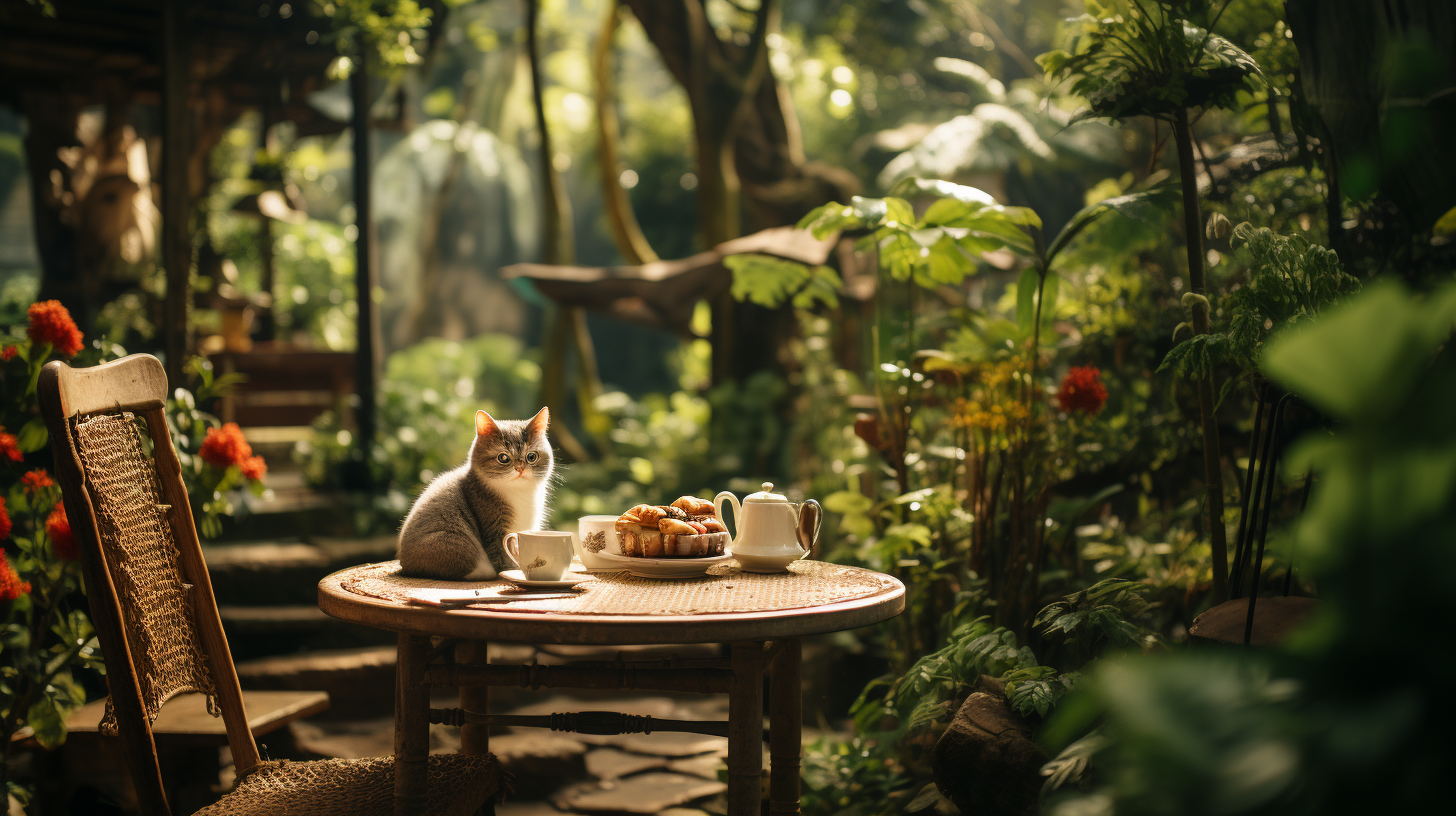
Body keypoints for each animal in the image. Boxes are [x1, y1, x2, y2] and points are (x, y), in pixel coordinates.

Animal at [396, 408, 553, 579]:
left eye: (531, 456)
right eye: (503, 458)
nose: (520, 468)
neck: (520, 492)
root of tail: (405, 567)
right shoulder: (493, 526)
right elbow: (502, 554)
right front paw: (510, 571)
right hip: (452, 542)